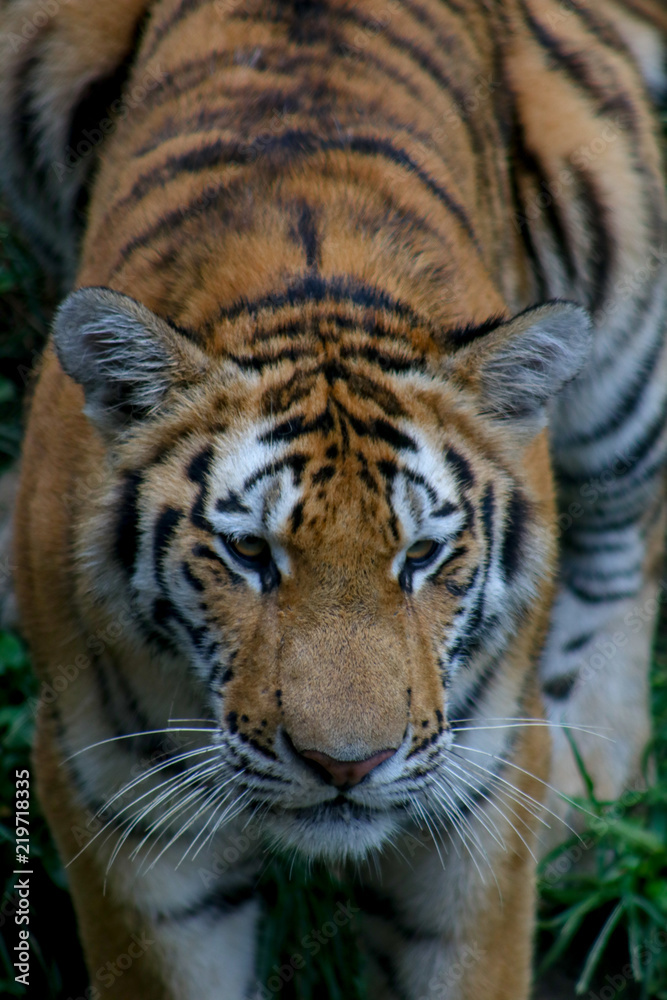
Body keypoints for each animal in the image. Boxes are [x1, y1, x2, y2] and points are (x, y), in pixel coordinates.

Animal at [2, 0, 667, 997]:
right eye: (248, 554)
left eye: (421, 556)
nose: (346, 767)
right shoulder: (125, 814)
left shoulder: (474, 802)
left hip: (623, 302)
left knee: (633, 531)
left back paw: (584, 791)